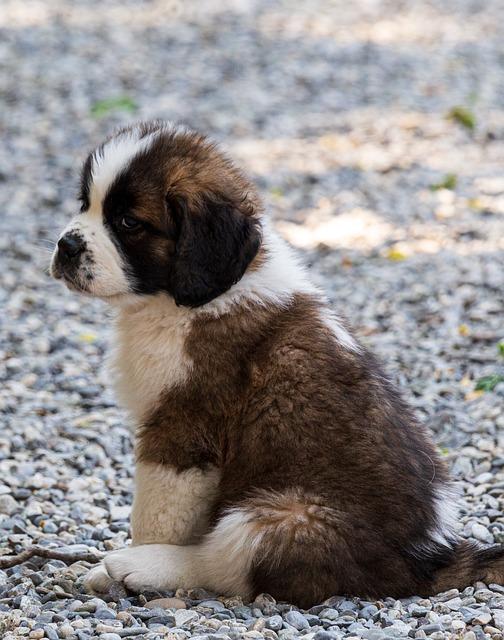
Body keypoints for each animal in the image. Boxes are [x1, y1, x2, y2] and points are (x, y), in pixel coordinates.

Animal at [51, 121, 504, 608]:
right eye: (85, 204)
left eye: (129, 223)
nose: (66, 245)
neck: (191, 298)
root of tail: (428, 559)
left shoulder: (181, 432)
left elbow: (156, 514)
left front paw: (130, 560)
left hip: (279, 516)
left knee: (224, 562)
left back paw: (139, 566)